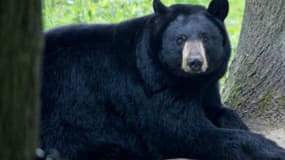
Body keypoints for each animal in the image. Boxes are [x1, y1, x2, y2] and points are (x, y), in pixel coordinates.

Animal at [39, 0, 284, 159]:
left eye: (205, 37)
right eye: (180, 39)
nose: (195, 62)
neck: (188, 81)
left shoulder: (207, 85)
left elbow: (220, 110)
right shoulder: (152, 88)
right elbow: (184, 131)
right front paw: (273, 149)